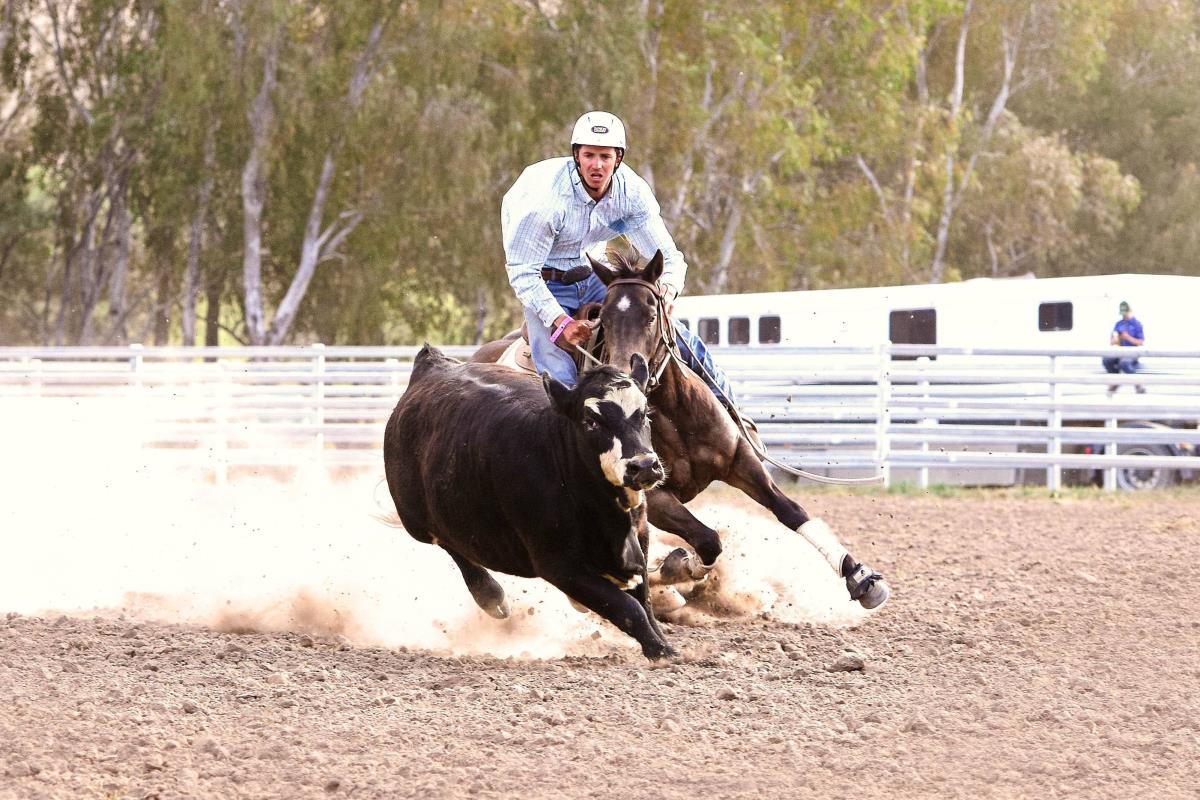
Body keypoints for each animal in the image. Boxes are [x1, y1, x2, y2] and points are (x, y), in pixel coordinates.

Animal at [383, 345, 675, 660]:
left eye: (645, 413)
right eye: (591, 421)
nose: (643, 466)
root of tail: (431, 364)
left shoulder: (636, 541)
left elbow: (644, 600)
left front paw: (663, 642)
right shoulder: (559, 566)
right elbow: (627, 607)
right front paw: (660, 650)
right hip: (416, 521)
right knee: (452, 547)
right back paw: (491, 596)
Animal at [473, 250, 890, 611]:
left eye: (651, 312)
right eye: (604, 318)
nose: (624, 374)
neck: (672, 414)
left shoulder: (741, 460)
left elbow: (791, 512)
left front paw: (859, 577)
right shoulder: (652, 494)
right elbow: (706, 540)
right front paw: (677, 570)